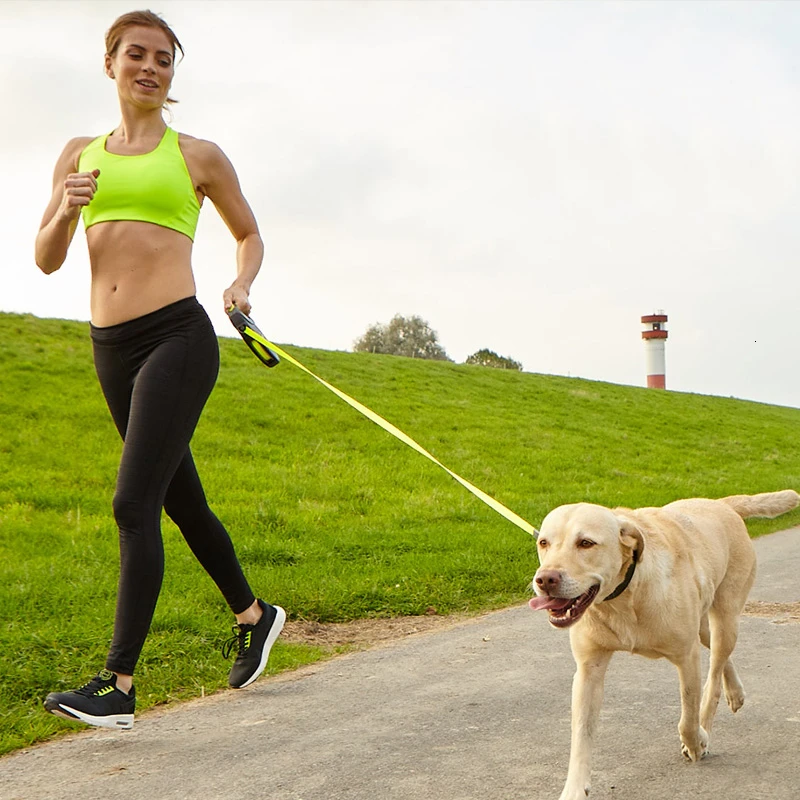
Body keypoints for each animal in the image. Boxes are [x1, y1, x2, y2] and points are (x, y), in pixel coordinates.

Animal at [528, 488, 796, 800]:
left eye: (586, 543)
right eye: (544, 543)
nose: (545, 579)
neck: (625, 597)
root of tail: (721, 504)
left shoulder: (686, 657)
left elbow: (688, 715)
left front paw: (696, 742)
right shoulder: (588, 671)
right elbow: (582, 735)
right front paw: (574, 789)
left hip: (726, 619)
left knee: (714, 676)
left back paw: (711, 719)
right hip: (704, 626)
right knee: (720, 658)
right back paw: (736, 693)